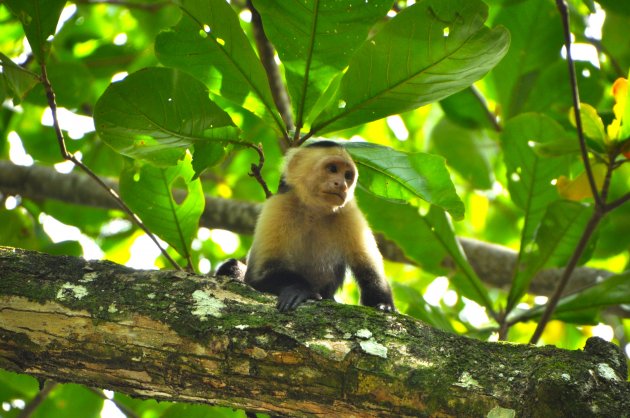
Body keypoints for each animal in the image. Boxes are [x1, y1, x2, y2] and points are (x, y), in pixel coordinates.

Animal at [217, 142, 396, 312]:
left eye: (347, 175)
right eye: (333, 169)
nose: (342, 185)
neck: (314, 211)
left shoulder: (350, 213)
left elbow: (370, 271)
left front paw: (382, 304)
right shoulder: (278, 205)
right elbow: (258, 276)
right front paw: (300, 289)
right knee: (230, 267)